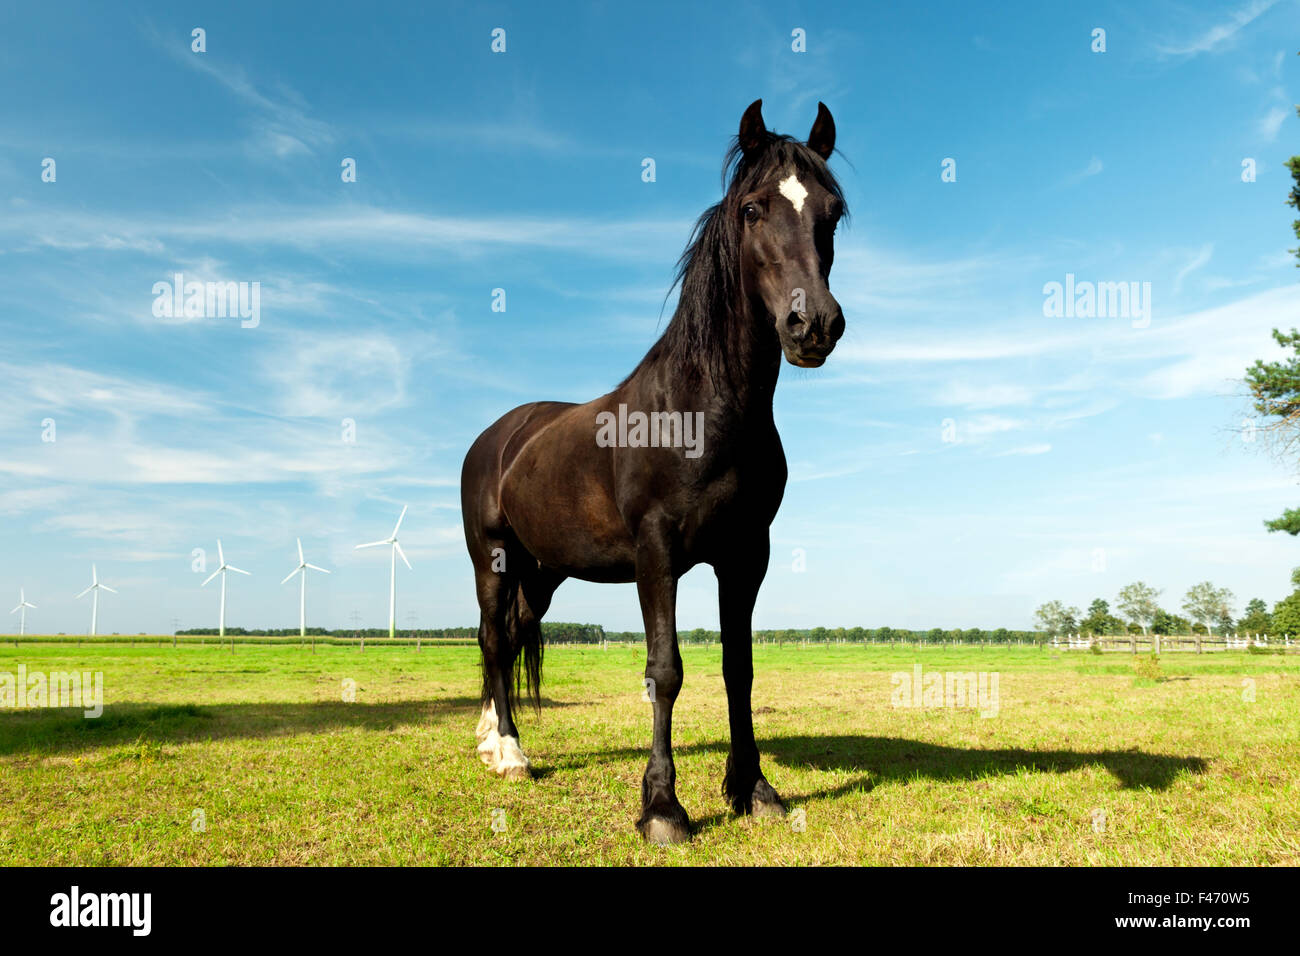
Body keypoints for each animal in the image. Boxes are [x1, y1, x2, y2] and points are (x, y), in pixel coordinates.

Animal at [462, 98, 847, 842]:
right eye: (753, 208)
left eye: (833, 212)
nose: (812, 324)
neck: (700, 410)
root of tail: (497, 437)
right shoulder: (657, 553)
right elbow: (664, 671)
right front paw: (663, 808)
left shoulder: (745, 555)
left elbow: (738, 669)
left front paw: (753, 789)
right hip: (492, 557)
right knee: (493, 637)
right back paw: (510, 752)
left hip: (544, 570)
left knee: (511, 636)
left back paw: (491, 735)